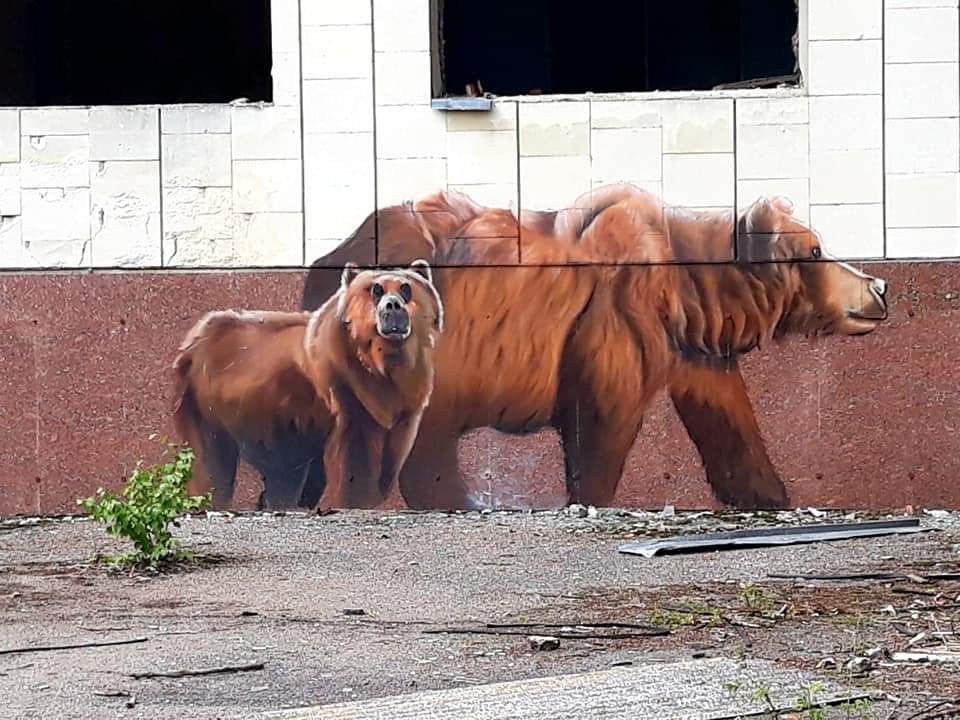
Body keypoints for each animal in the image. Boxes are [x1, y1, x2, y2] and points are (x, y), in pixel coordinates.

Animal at [172, 260, 443, 510]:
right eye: (376, 289)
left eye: (406, 288)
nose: (392, 305)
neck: (382, 364)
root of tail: (192, 341)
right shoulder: (348, 394)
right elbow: (355, 464)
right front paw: (354, 499)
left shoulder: (405, 410)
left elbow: (389, 459)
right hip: (210, 405)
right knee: (211, 462)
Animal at [293, 185, 888, 511]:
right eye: (816, 249)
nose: (880, 287)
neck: (691, 289)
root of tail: (331, 256)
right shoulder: (613, 321)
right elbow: (603, 425)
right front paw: (589, 495)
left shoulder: (690, 351)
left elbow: (728, 420)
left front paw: (769, 494)